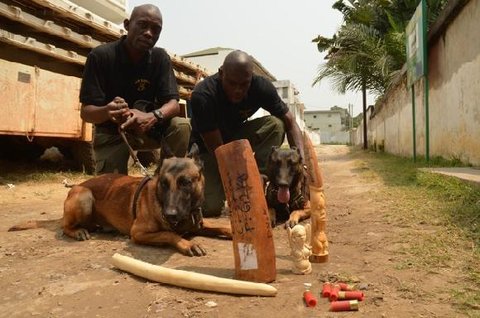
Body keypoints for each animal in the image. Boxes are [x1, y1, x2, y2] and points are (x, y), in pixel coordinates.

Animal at [8, 144, 232, 256]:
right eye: (163, 183)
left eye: (186, 182)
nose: (169, 214)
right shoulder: (138, 233)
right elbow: (171, 234)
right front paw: (187, 244)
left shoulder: (198, 224)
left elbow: (220, 226)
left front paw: (231, 231)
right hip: (84, 196)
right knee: (65, 227)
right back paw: (78, 231)